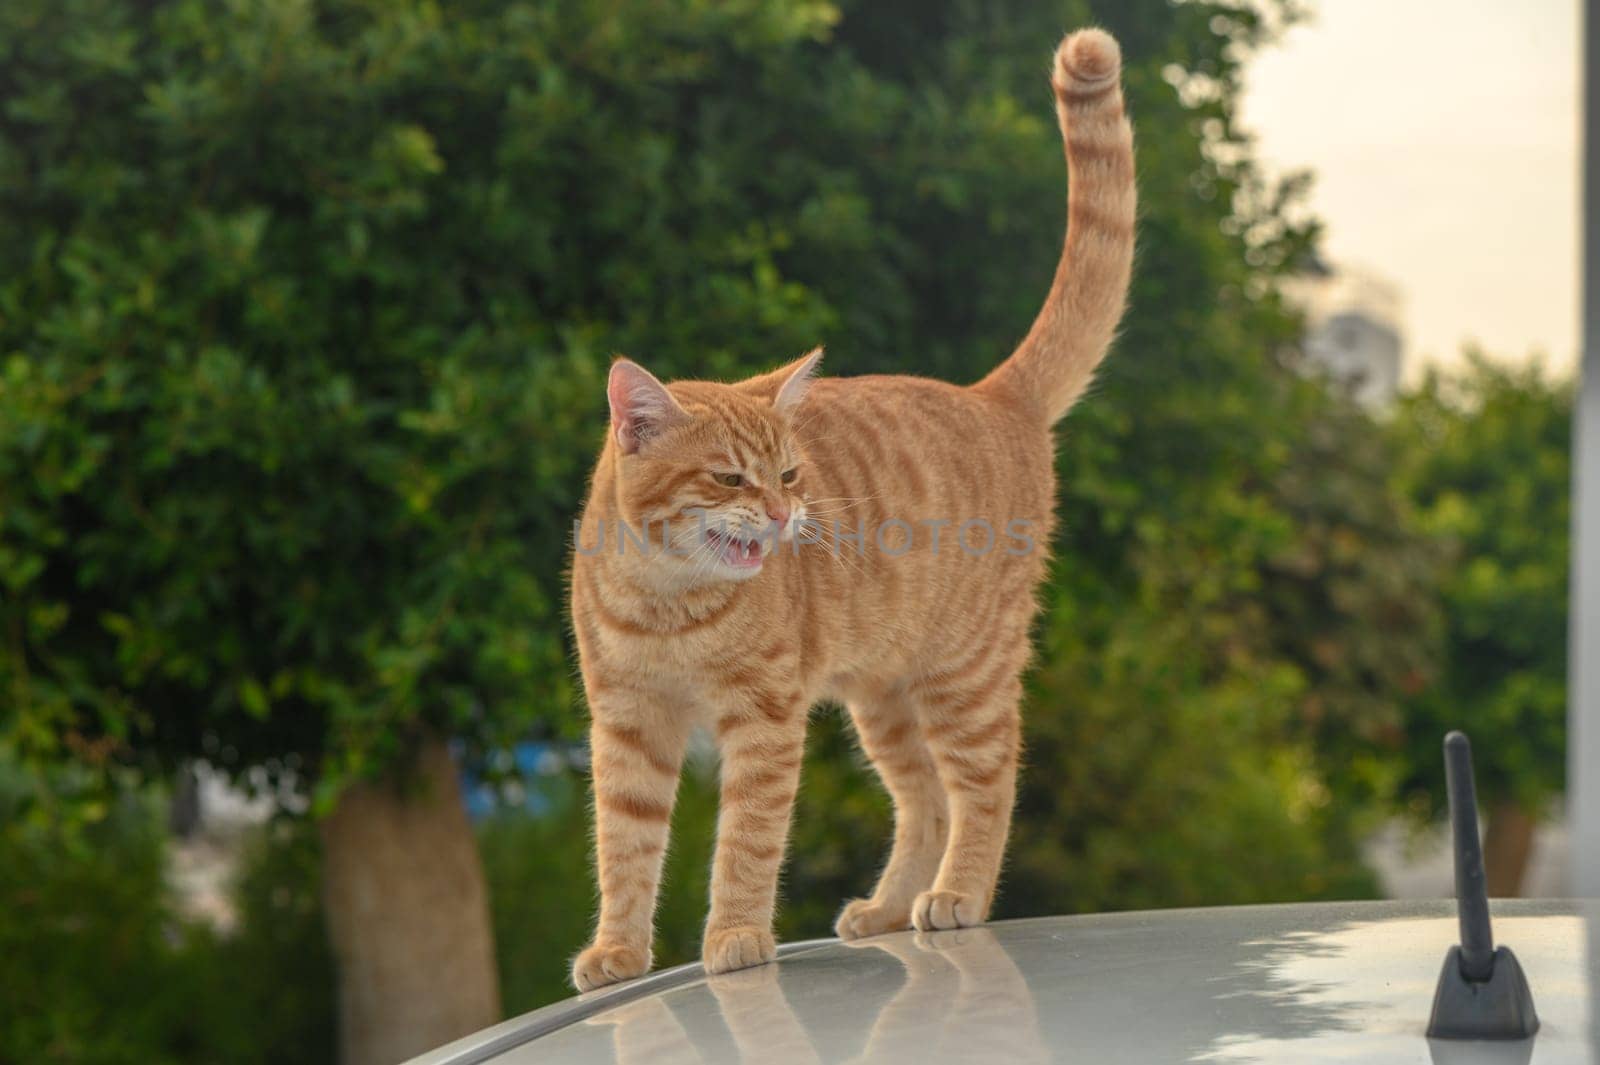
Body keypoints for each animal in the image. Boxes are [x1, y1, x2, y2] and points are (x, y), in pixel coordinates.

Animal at [569, 26, 1132, 985]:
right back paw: (890, 906)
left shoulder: (763, 724)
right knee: (925, 799)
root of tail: (994, 394)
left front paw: (736, 938)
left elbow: (746, 843)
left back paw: (956, 897)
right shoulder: (628, 727)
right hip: (886, 699)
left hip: (962, 679)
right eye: (732, 478)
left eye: (790, 474)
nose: (783, 516)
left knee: (986, 786)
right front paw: (618, 949)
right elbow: (624, 850)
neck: (670, 602)